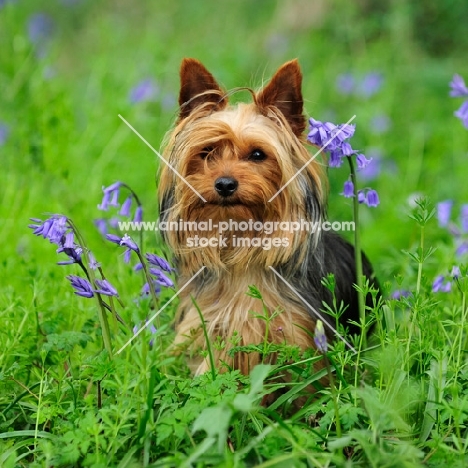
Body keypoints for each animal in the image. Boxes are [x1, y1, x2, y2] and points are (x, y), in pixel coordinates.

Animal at [159, 56, 378, 374]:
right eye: (207, 151)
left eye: (258, 155)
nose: (224, 184)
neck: (239, 238)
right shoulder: (209, 329)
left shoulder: (301, 334)